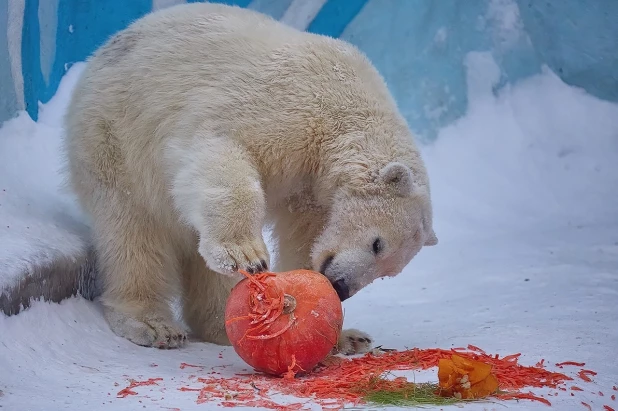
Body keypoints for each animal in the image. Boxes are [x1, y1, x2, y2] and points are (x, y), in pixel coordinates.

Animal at [62, 2, 436, 354]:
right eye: (377, 244)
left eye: (389, 271)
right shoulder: (283, 109)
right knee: (133, 229)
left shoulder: (311, 188)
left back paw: (227, 322)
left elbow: (305, 240)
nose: (342, 287)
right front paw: (245, 255)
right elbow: (220, 155)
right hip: (115, 139)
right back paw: (152, 324)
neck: (345, 110)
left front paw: (343, 333)